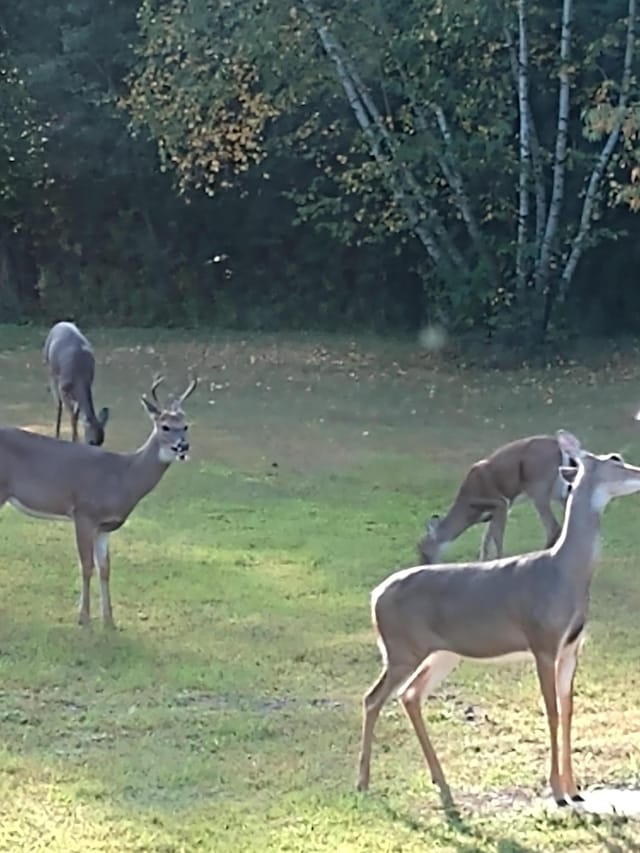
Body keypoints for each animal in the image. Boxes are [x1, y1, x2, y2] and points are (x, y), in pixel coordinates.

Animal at [0, 376, 196, 628]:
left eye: (186, 425)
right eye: (165, 426)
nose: (183, 446)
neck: (123, 478)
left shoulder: (105, 526)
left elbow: (105, 569)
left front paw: (109, 620)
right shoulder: (84, 512)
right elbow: (86, 566)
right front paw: (83, 617)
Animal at [418, 432, 576, 564]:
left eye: (423, 549)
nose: (423, 564)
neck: (469, 508)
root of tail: (558, 445)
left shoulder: (501, 503)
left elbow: (497, 537)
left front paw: (498, 561)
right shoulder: (494, 512)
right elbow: (486, 539)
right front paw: (481, 563)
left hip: (538, 486)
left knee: (552, 527)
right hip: (557, 488)